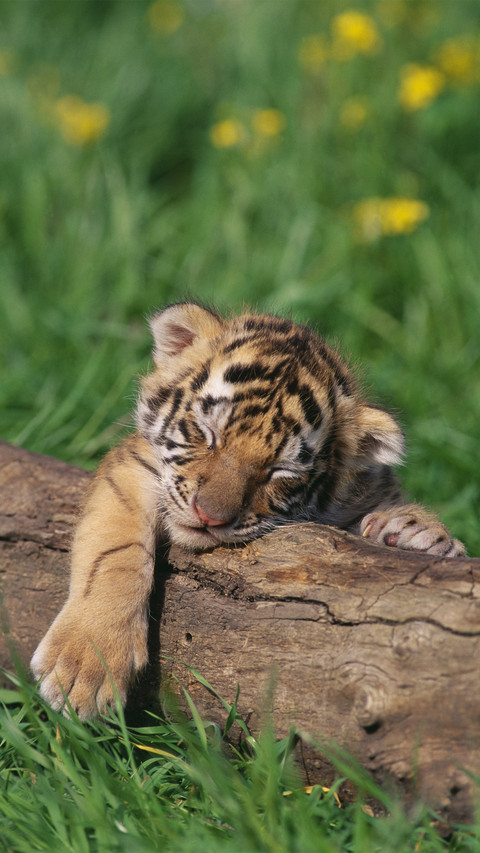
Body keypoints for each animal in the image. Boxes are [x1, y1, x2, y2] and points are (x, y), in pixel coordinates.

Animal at [31, 302, 466, 719]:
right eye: (208, 433)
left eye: (281, 470)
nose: (209, 516)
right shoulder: (133, 466)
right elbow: (113, 550)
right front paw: (85, 666)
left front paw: (415, 531)